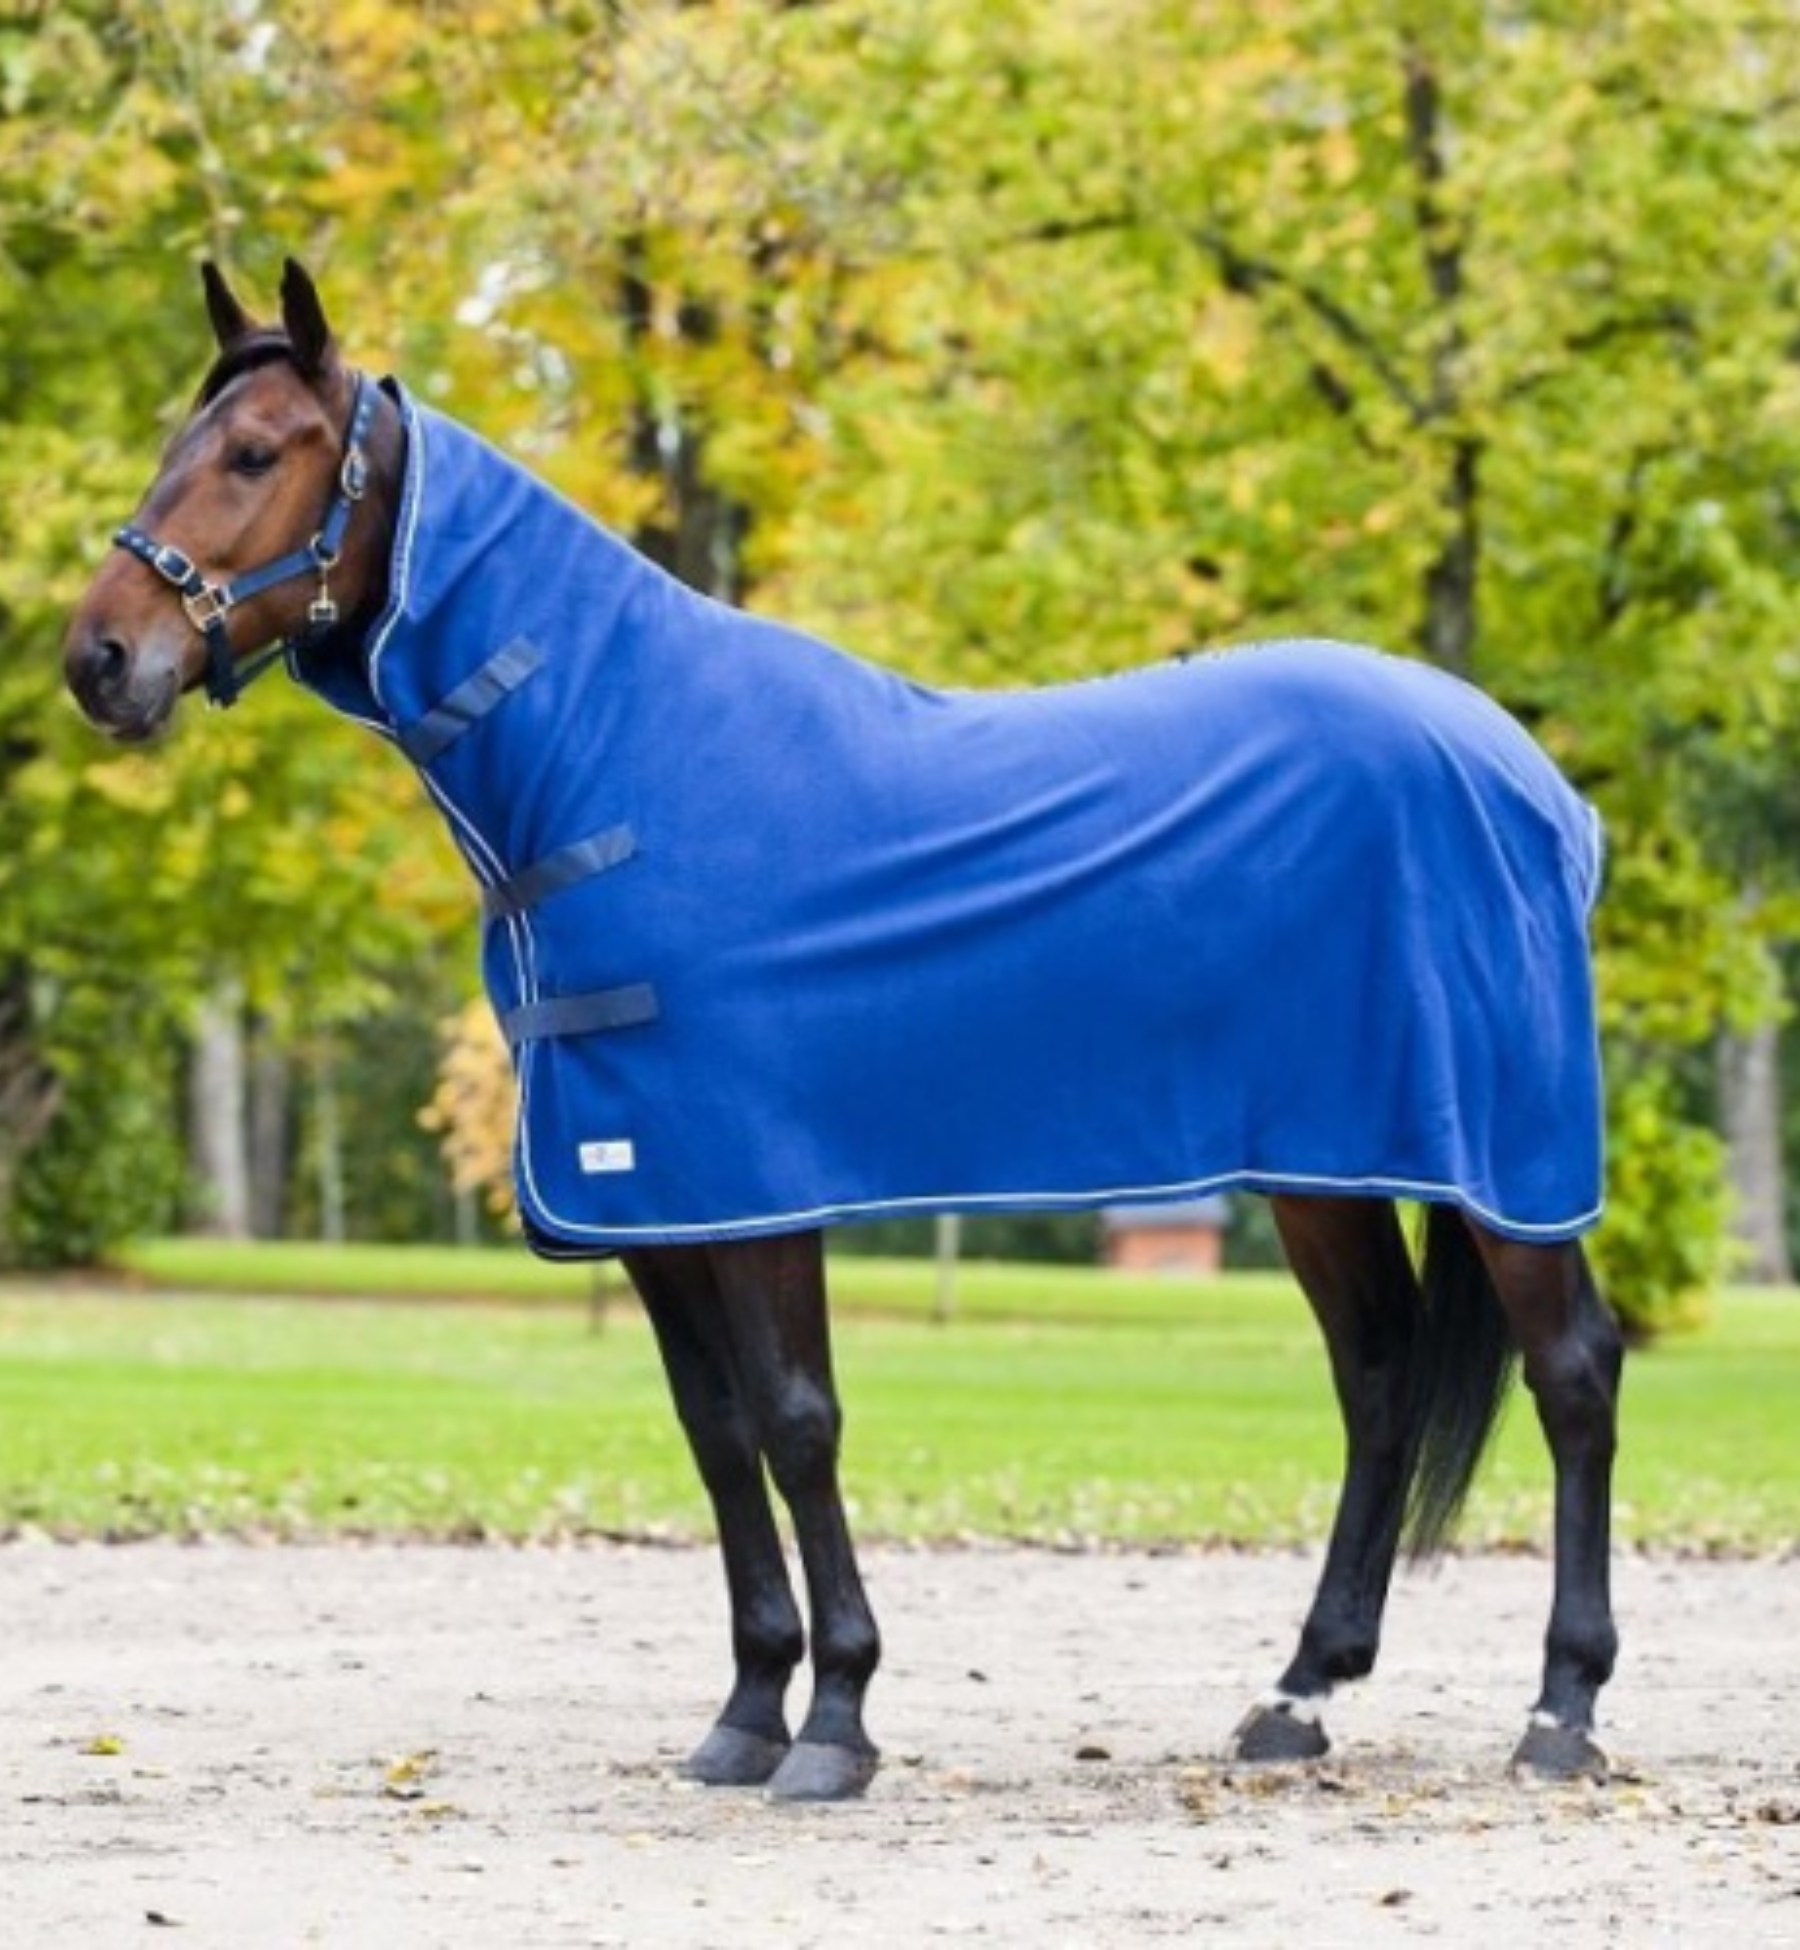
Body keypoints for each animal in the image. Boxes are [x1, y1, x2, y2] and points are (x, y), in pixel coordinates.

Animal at [65, 260, 1623, 1803]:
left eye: (256, 453)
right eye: (178, 444)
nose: (100, 657)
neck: (620, 754)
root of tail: (1534, 782)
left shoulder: (760, 1189)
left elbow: (797, 1421)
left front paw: (837, 1721)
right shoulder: (654, 1199)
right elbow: (716, 1434)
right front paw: (748, 1709)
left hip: (1506, 1166)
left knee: (1574, 1371)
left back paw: (1560, 1710)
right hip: (1323, 1169)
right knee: (1379, 1380)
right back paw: (1299, 1695)